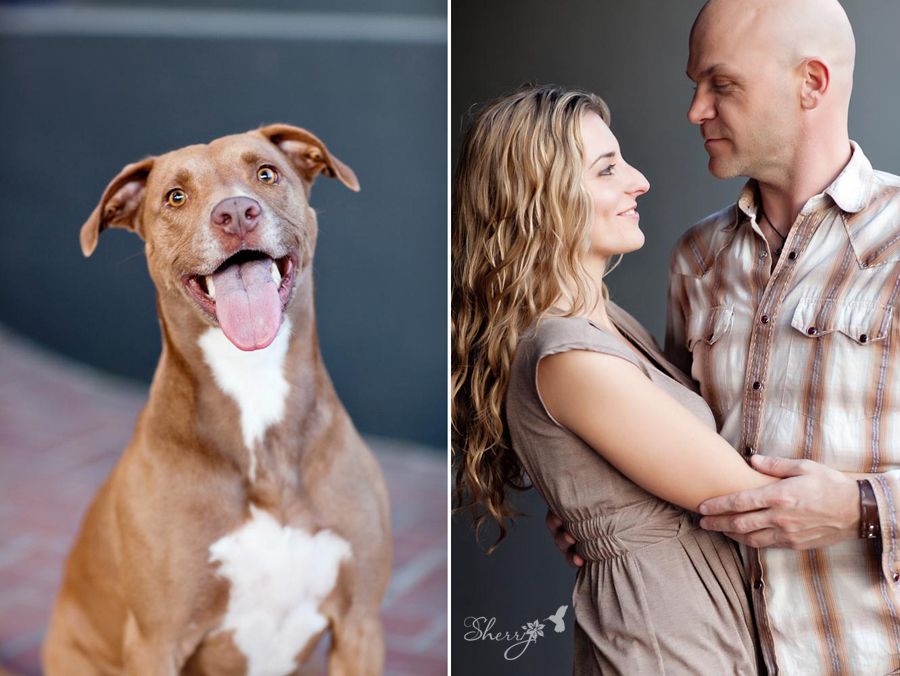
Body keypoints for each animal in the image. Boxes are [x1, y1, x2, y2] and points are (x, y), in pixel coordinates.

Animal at [42, 124, 392, 672]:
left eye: (266, 173)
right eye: (175, 196)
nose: (236, 213)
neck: (254, 388)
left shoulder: (360, 625)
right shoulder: (155, 642)